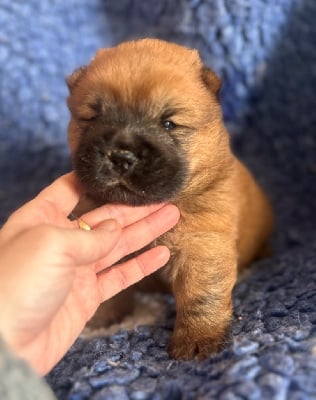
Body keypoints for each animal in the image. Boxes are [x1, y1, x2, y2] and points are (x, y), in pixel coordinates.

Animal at [66, 39, 274, 360]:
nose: (121, 156)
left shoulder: (202, 244)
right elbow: (108, 290)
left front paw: (197, 341)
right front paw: (100, 321)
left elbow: (201, 296)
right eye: (93, 117)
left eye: (168, 124)